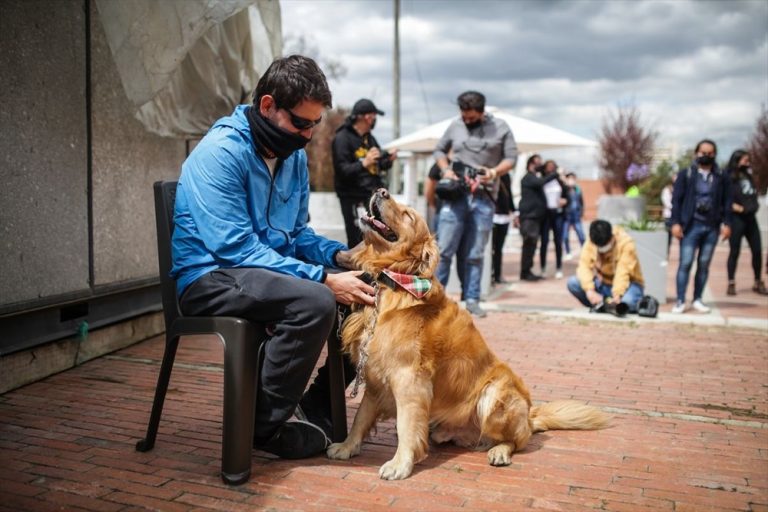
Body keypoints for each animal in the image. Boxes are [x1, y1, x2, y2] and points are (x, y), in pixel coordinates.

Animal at [328, 188, 608, 480]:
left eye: (407, 215)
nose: (381, 190)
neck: (392, 278)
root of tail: (530, 415)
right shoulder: (373, 375)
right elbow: (361, 417)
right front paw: (347, 446)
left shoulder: (409, 379)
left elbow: (406, 426)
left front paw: (400, 464)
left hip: (493, 395)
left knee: (517, 440)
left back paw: (499, 451)